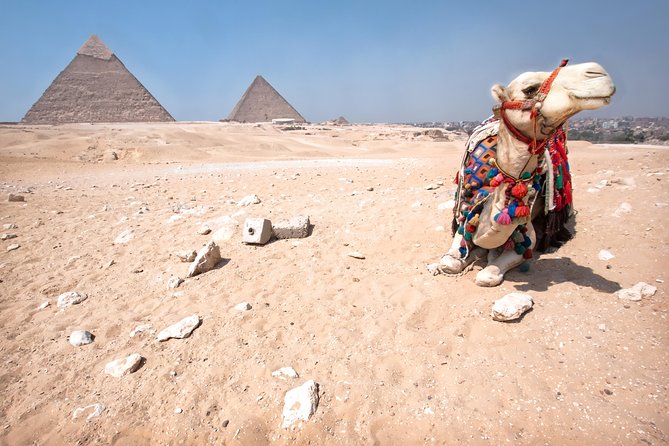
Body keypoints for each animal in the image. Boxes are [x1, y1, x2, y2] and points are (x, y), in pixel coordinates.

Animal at [437, 60, 615, 286]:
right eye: (529, 89)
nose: (596, 71)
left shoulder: (526, 236)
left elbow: (489, 274)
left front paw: (489, 256)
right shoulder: (465, 215)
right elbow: (449, 262)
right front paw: (475, 253)